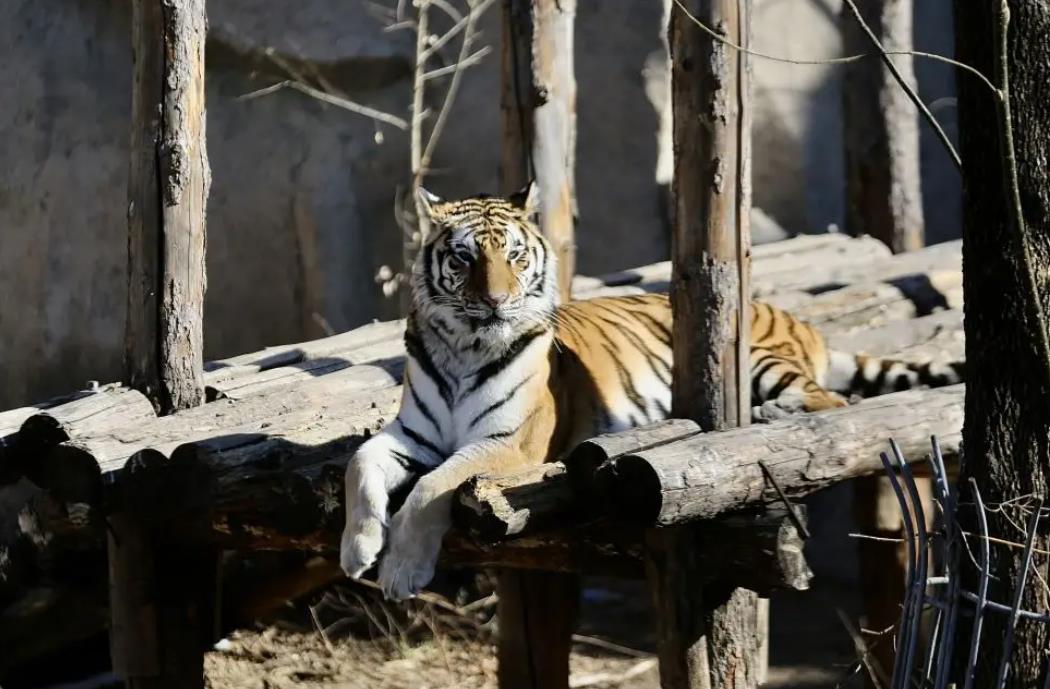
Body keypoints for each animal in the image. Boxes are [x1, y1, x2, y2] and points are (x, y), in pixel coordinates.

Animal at [340, 185, 961, 600]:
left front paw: (400, 572)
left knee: (834, 403)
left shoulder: (512, 443)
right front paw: (357, 549)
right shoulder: (413, 433)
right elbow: (358, 462)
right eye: (464, 257)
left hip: (759, 359)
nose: (497, 301)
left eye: (514, 255)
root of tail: (799, 320)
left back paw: (772, 412)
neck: (463, 347)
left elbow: (432, 486)